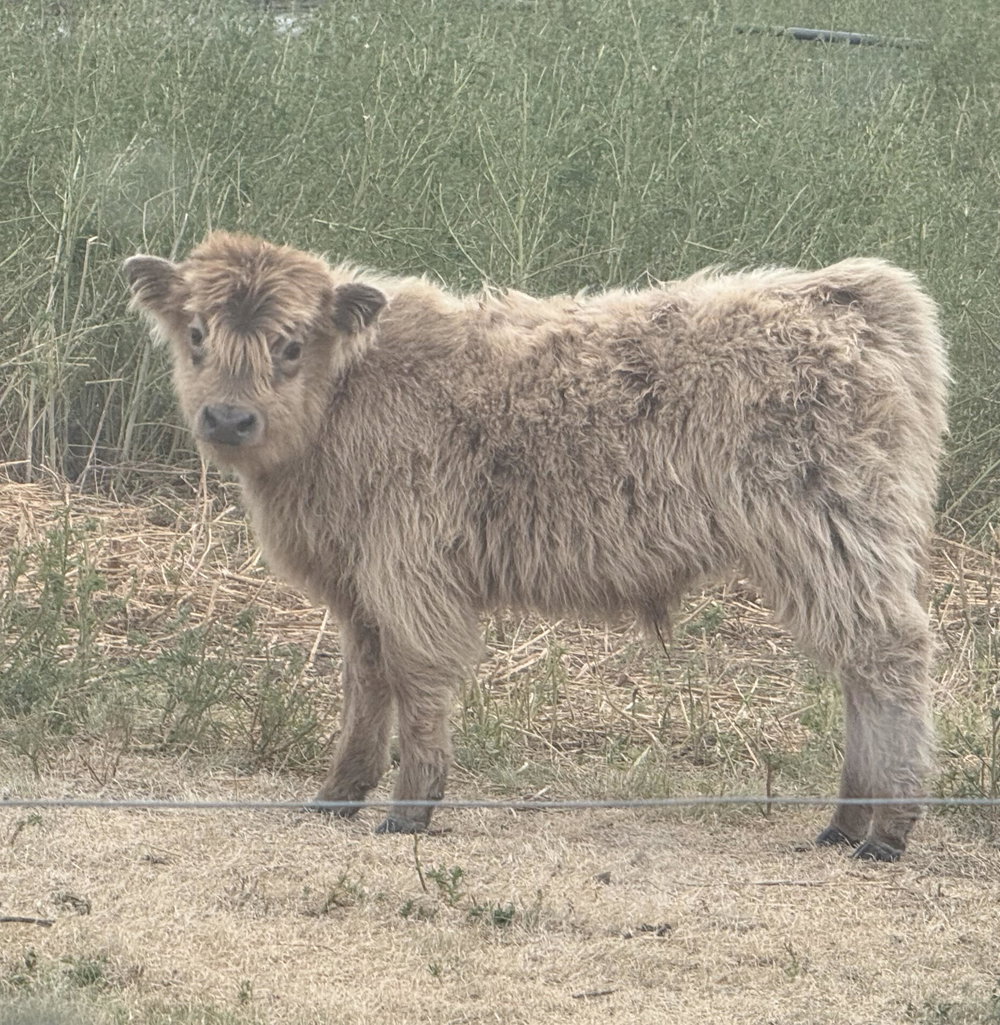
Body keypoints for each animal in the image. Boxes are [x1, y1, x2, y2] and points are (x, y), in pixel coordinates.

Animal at [125, 232, 947, 860]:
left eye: (290, 345)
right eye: (196, 334)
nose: (228, 418)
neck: (345, 402)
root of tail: (840, 293)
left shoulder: (410, 570)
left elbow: (417, 681)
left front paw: (410, 808)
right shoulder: (358, 587)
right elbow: (365, 683)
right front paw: (338, 794)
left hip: (830, 529)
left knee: (890, 654)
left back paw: (888, 830)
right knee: (859, 667)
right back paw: (844, 823)